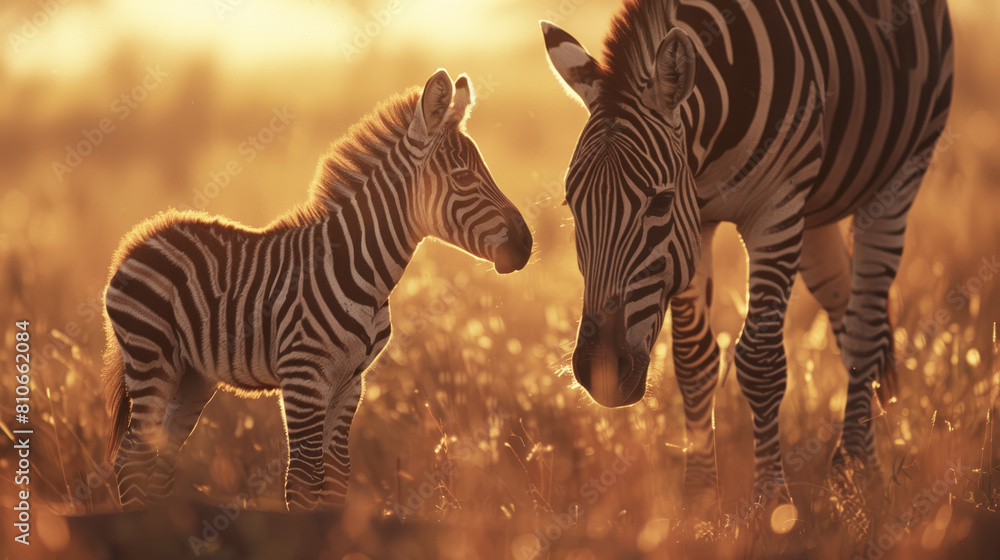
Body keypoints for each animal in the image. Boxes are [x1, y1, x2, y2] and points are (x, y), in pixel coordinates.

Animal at [102, 69, 533, 511]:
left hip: (192, 376)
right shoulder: (304, 379)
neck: (362, 271)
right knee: (132, 457)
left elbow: (338, 475)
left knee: (160, 458)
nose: (527, 244)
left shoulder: (350, 383)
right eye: (463, 178)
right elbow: (305, 478)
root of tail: (143, 237)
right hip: (151, 358)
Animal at [541, 0, 953, 517]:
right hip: (814, 216)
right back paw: (867, 477)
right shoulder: (696, 224)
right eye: (570, 206)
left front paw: (772, 506)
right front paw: (698, 504)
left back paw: (853, 473)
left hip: (900, 177)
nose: (602, 373)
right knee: (851, 314)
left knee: (864, 325)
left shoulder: (776, 208)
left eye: (659, 202)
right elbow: (693, 363)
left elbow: (760, 361)